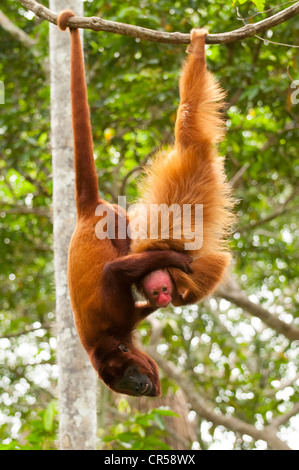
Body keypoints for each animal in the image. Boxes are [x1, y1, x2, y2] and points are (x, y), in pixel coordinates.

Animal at [56, 11, 193, 396]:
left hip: (114, 220)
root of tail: (86, 212)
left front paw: (177, 259)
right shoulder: (130, 317)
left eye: (130, 375)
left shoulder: (116, 311)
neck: (109, 343)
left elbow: (114, 272)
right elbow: (149, 303)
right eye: (125, 385)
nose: (140, 387)